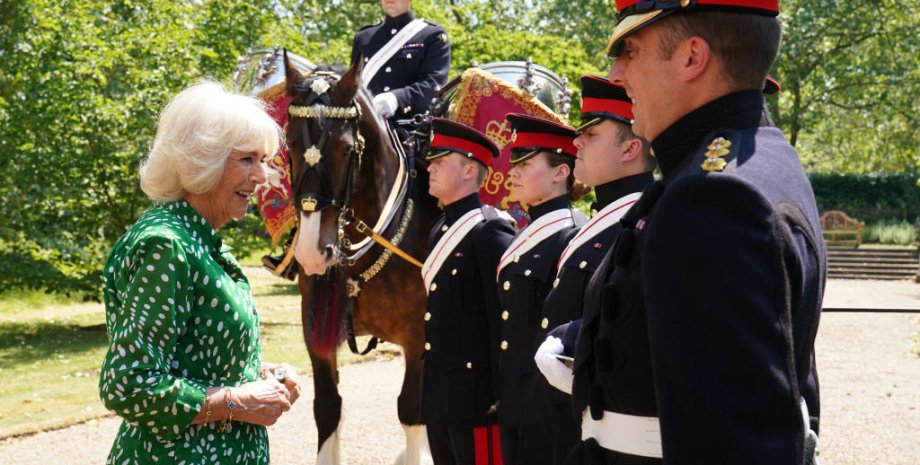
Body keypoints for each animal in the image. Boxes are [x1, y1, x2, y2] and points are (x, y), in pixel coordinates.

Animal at [282, 52, 440, 462]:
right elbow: (327, 408)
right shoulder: (314, 329)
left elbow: (412, 412)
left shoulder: (419, 338)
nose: (311, 252)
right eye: (289, 142)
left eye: (346, 148)